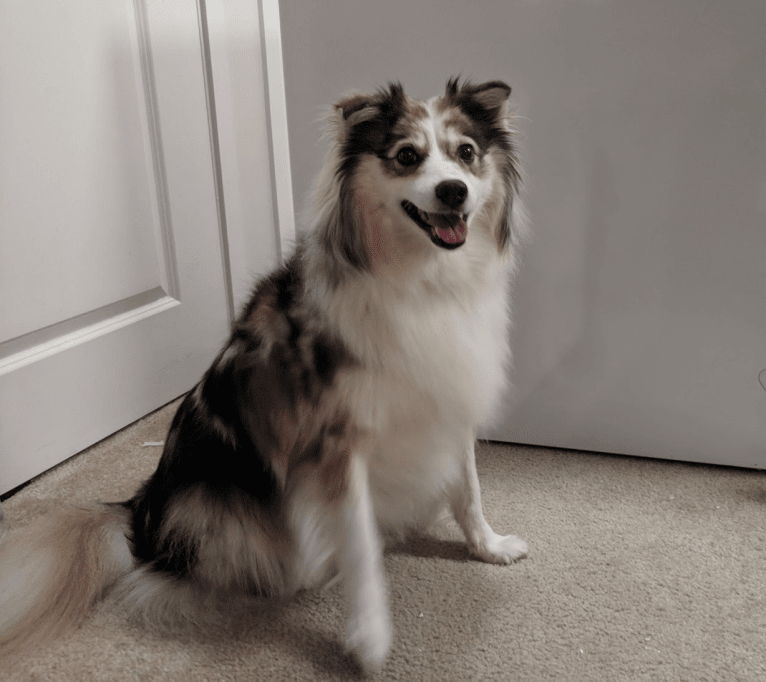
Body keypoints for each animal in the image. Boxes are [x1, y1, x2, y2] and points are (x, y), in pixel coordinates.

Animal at [0, 77, 528, 672]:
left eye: (466, 153)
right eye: (407, 156)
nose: (454, 192)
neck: (425, 281)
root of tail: (141, 512)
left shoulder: (449, 399)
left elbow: (469, 490)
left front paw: (489, 546)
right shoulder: (337, 443)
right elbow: (361, 543)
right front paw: (370, 636)